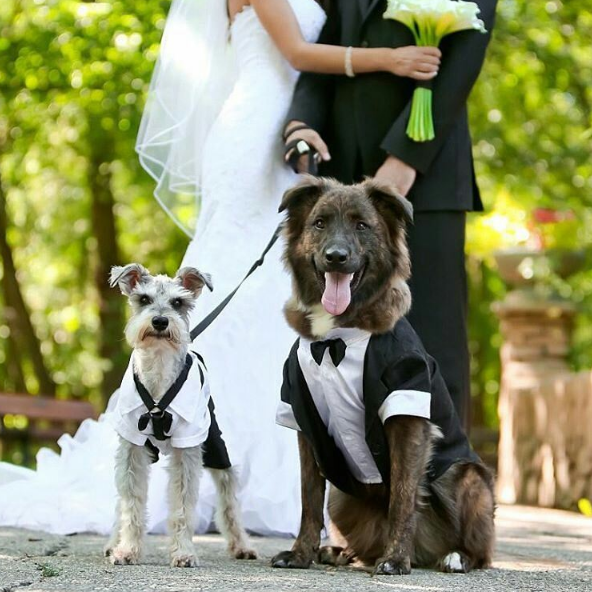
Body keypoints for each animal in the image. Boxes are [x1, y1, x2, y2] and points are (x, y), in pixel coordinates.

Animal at [106, 264, 254, 568]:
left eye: (177, 302)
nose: (161, 321)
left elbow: (183, 505)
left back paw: (242, 545)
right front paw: (127, 549)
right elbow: (130, 501)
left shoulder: (189, 449)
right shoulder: (130, 447)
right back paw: (113, 542)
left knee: (228, 495)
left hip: (216, 447)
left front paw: (184, 552)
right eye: (144, 299)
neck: (159, 371)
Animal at [272, 176, 494, 572]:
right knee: (361, 540)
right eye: (319, 223)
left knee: (479, 551)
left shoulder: (406, 413)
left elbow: (404, 497)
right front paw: (300, 554)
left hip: (469, 477)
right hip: (341, 496)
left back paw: (454, 557)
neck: (337, 339)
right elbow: (308, 499)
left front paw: (395, 559)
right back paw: (339, 552)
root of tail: (427, 552)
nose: (336, 256)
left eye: (362, 225)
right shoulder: (303, 418)